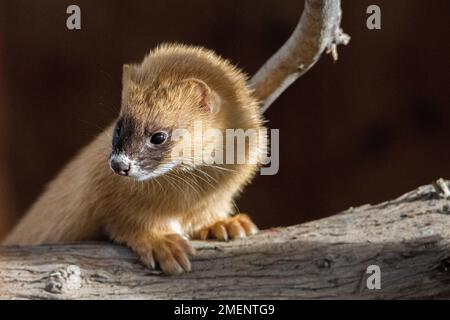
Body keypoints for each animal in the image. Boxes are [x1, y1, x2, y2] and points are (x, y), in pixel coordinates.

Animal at [3, 43, 266, 276]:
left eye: (158, 136)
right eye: (119, 125)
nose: (119, 165)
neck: (184, 201)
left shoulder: (213, 199)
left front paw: (225, 224)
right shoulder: (101, 193)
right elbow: (127, 221)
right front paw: (163, 244)